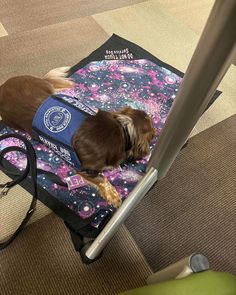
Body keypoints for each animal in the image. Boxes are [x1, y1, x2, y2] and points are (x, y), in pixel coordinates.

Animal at [0, 67, 155, 208]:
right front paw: (114, 196)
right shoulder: (84, 169)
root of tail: (3, 86)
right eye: (153, 131)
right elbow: (102, 179)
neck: (123, 130)